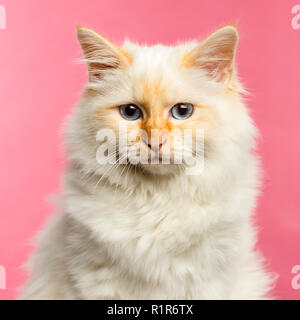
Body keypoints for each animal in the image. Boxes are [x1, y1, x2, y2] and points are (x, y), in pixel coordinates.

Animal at [19, 25, 276, 300]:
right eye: (130, 112)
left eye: (182, 111)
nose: (155, 142)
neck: (157, 199)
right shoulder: (93, 281)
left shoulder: (208, 282)